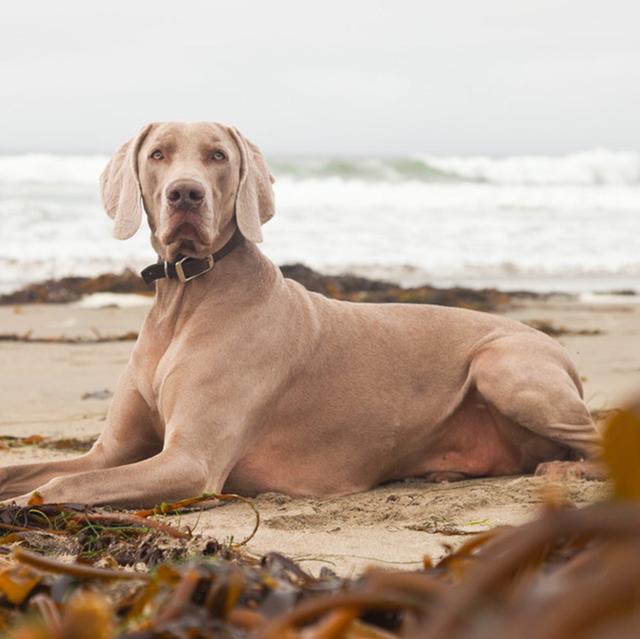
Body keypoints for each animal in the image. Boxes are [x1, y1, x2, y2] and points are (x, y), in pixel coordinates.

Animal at [0, 122, 600, 508]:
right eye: (158, 154)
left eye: (217, 155)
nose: (185, 194)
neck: (184, 299)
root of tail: (557, 348)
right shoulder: (111, 452)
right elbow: (25, 471)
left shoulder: (191, 463)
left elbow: (57, 488)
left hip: (505, 365)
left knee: (595, 438)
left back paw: (564, 469)